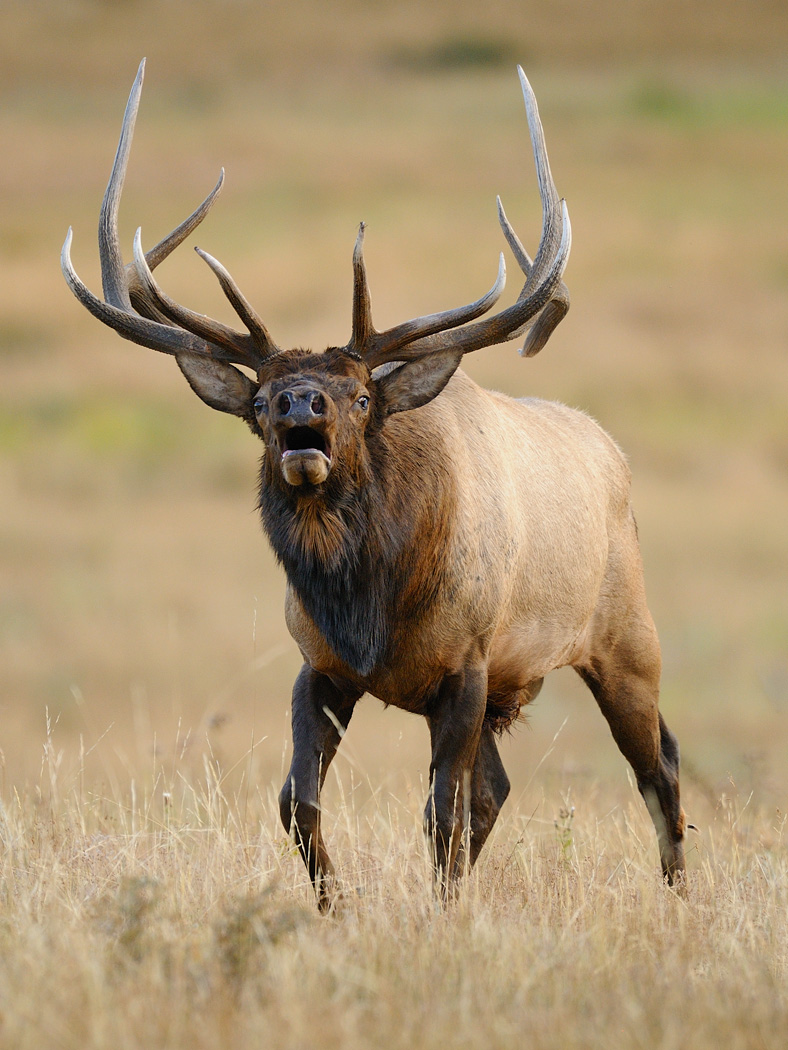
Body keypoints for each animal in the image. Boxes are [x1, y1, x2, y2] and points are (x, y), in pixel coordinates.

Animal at [62, 60, 686, 910]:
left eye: (360, 395)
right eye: (260, 399)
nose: (301, 402)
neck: (370, 605)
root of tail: (611, 451)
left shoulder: (466, 662)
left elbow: (441, 813)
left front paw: (439, 916)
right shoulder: (321, 666)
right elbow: (298, 800)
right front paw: (336, 906)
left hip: (625, 638)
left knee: (659, 765)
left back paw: (680, 898)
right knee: (502, 788)